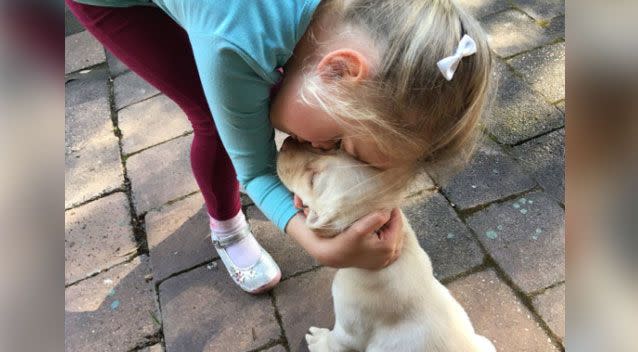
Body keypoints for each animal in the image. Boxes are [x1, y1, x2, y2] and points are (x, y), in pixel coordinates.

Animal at [278, 139, 498, 352]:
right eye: (336, 149)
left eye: (313, 179)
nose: (286, 143)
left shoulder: (349, 329)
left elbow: (335, 341)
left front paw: (318, 340)